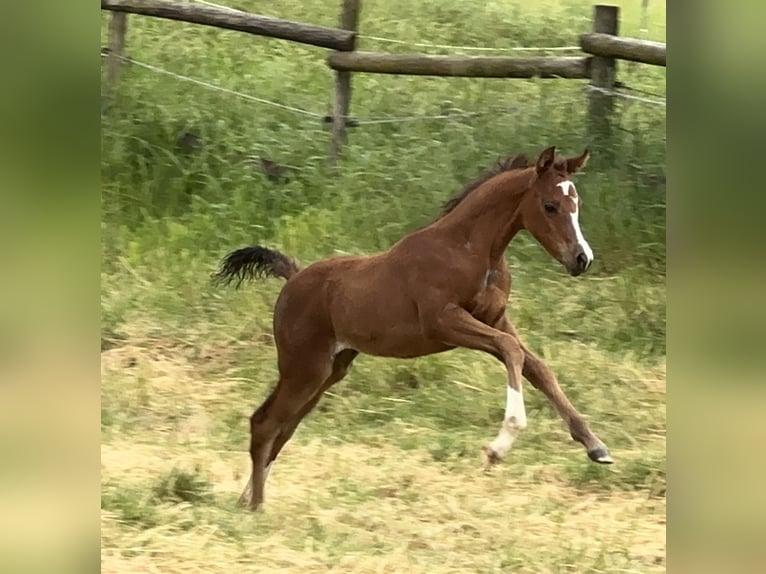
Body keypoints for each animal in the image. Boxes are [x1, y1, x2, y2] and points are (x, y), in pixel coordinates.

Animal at [213, 146, 612, 511]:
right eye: (550, 206)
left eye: (576, 203)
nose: (582, 259)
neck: (470, 250)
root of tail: (293, 277)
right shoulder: (444, 323)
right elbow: (510, 351)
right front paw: (499, 445)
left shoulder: (495, 319)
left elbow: (538, 368)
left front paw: (596, 446)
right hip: (304, 367)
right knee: (265, 423)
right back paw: (256, 506)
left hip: (330, 369)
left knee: (283, 427)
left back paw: (247, 497)